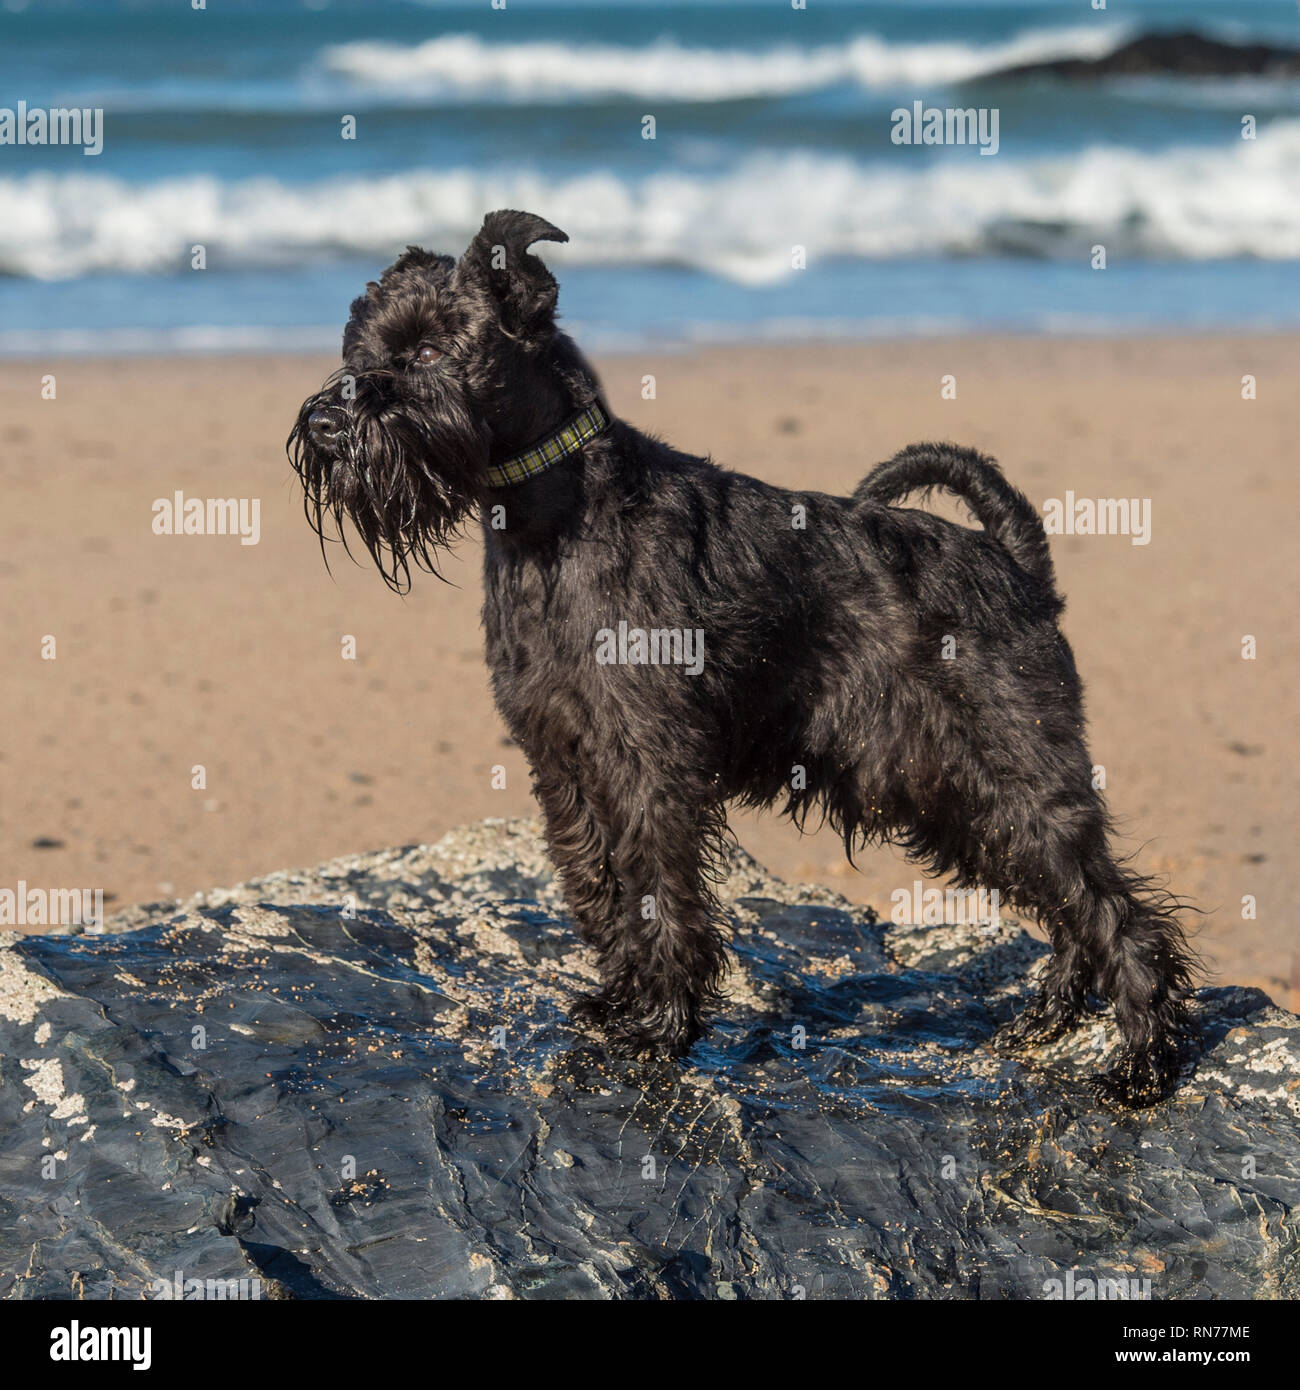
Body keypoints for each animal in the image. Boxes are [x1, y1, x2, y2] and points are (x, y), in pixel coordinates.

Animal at [287, 205, 1201, 1106]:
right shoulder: (565, 761)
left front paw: (661, 1026)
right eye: (358, 350)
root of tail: (1015, 563)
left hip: (1012, 769)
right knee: (1066, 896)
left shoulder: (650, 761)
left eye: (430, 350)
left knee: (1116, 910)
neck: (552, 521)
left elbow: (658, 889)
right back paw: (1048, 1017)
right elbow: (598, 885)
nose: (327, 422)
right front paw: (619, 999)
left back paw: (1141, 1065)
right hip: (959, 794)